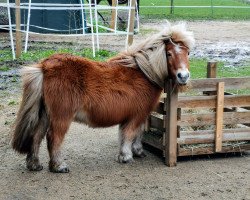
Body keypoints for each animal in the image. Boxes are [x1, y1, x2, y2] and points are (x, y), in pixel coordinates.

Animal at [12, 21, 195, 172]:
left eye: (187, 53)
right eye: (169, 53)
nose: (183, 76)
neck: (143, 72)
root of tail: (44, 66)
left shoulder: (138, 115)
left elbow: (136, 134)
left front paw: (137, 151)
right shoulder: (136, 115)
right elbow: (130, 134)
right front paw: (126, 156)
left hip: (44, 114)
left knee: (36, 136)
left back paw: (34, 164)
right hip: (61, 117)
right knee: (53, 138)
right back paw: (58, 166)